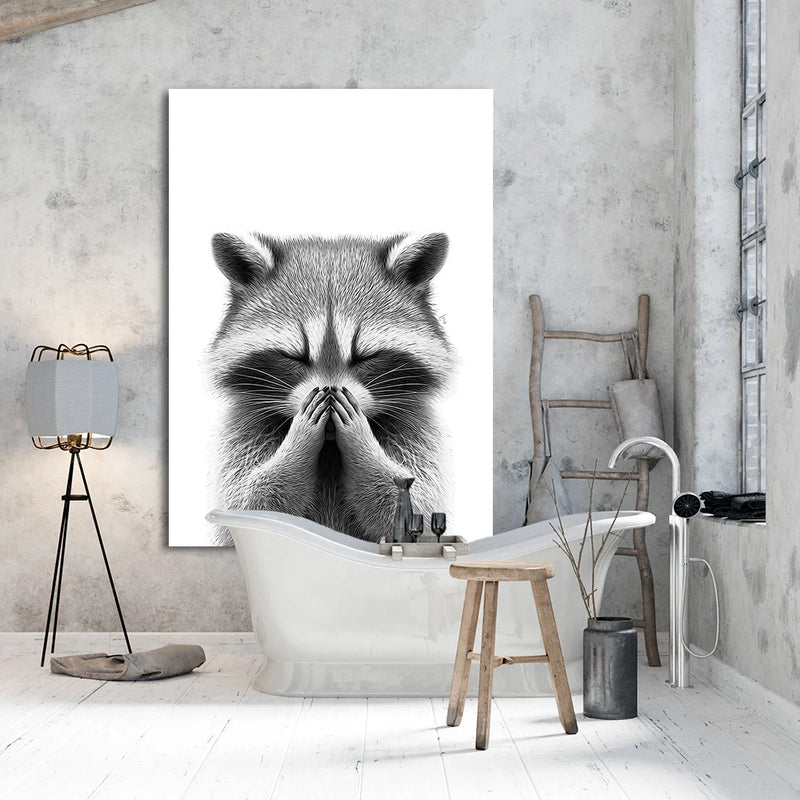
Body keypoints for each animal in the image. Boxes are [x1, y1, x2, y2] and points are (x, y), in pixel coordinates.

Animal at [206, 231, 454, 545]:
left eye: (366, 356)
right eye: (293, 356)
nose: (330, 392)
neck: (330, 447)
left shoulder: (417, 435)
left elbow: (410, 504)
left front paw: (361, 441)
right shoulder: (242, 435)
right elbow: (250, 506)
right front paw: (299, 440)